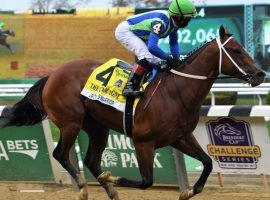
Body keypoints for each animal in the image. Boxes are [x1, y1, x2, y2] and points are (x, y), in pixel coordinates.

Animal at [0, 26, 266, 200]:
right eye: (236, 50)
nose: (260, 74)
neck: (176, 91)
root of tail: (52, 74)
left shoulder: (180, 137)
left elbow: (208, 163)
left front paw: (189, 190)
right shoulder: (143, 142)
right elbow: (147, 181)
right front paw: (113, 178)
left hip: (97, 127)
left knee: (90, 160)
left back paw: (108, 188)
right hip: (70, 122)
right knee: (60, 154)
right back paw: (86, 187)